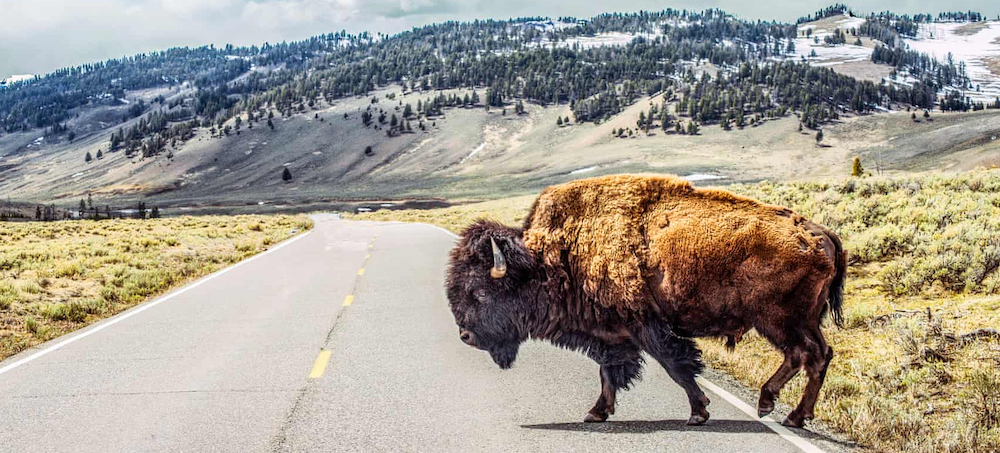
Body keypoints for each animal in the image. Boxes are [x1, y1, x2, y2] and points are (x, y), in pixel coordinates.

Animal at [445, 175, 846, 428]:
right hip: (802, 320)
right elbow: (609, 372)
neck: (557, 256)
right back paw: (789, 413)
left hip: (778, 320)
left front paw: (698, 412)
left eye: (480, 291)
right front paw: (597, 412)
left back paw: (776, 408)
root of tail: (820, 232)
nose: (465, 336)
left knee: (805, 354)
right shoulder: (611, 334)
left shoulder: (647, 326)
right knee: (817, 355)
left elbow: (675, 366)